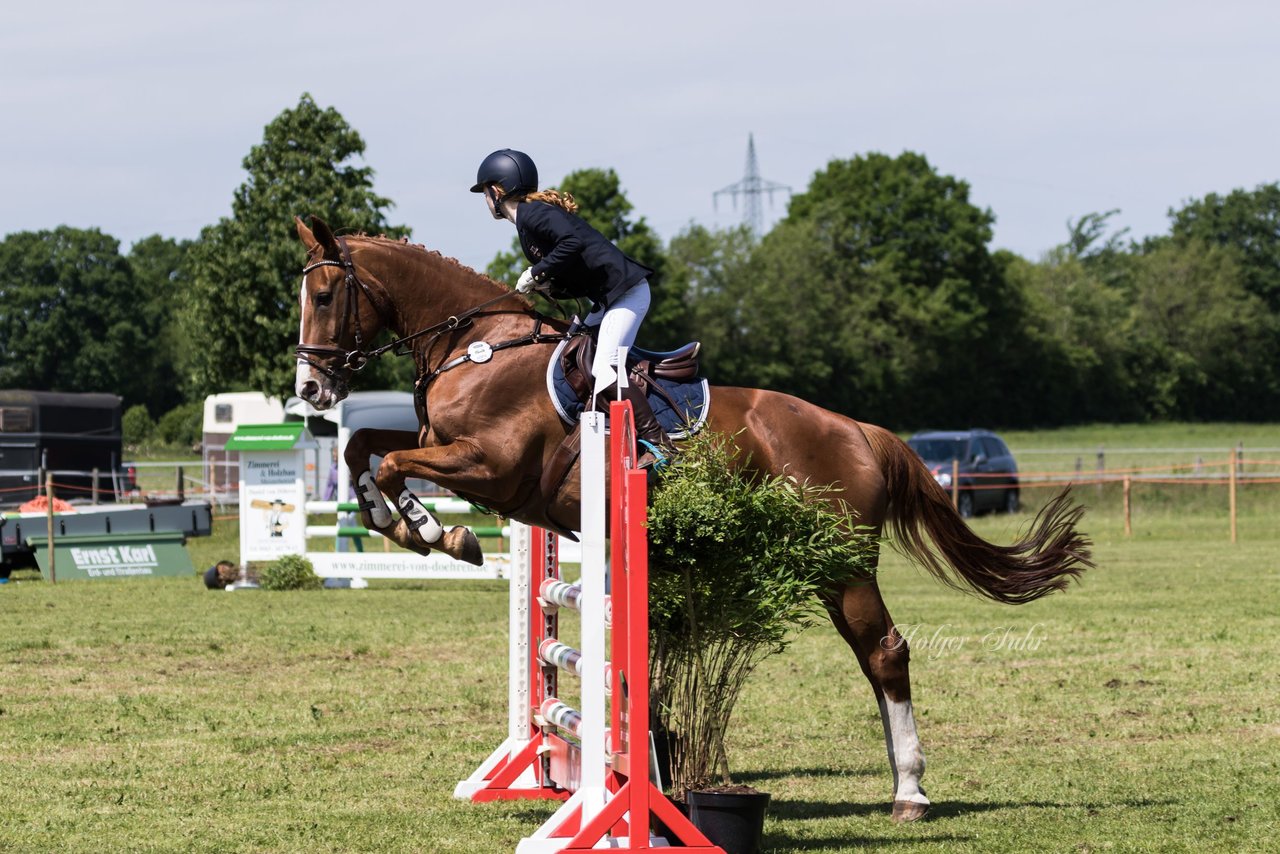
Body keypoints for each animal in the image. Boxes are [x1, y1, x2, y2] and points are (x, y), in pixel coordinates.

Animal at [290, 213, 1090, 819]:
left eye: (326, 294)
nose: (310, 389)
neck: (475, 347)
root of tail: (859, 431)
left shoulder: (491, 467)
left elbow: (392, 465)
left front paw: (437, 532)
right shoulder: (453, 454)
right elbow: (366, 454)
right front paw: (412, 525)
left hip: (841, 561)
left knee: (885, 652)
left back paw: (912, 792)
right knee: (874, 654)